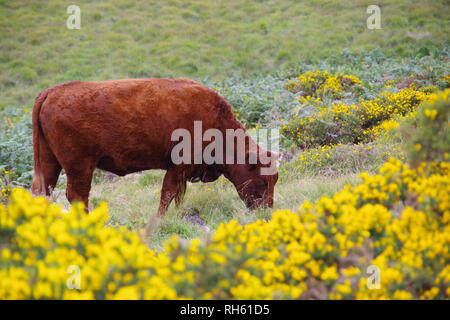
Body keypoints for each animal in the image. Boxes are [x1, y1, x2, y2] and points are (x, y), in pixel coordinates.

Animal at [30, 78, 278, 216]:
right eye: (262, 180)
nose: (266, 211)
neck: (216, 122)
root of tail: (50, 93)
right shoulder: (178, 165)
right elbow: (167, 193)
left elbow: (175, 195)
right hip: (80, 166)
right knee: (77, 195)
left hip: (49, 162)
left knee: (43, 191)